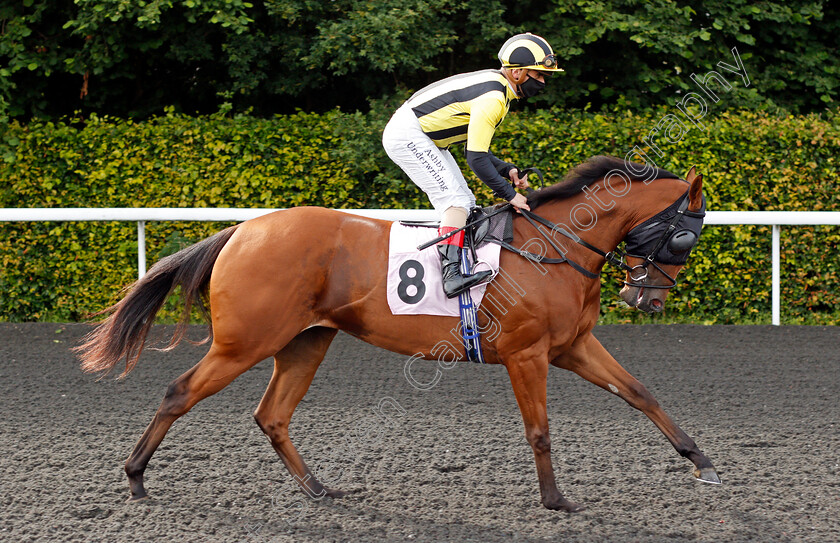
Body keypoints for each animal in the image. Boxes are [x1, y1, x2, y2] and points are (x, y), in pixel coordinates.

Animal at [75, 155, 720, 512]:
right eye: (686, 236)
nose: (646, 299)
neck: (552, 246)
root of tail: (242, 230)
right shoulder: (527, 355)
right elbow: (539, 431)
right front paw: (556, 500)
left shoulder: (572, 346)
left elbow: (640, 393)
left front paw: (702, 461)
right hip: (244, 342)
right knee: (179, 392)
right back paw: (135, 479)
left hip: (306, 340)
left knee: (272, 414)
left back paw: (320, 489)